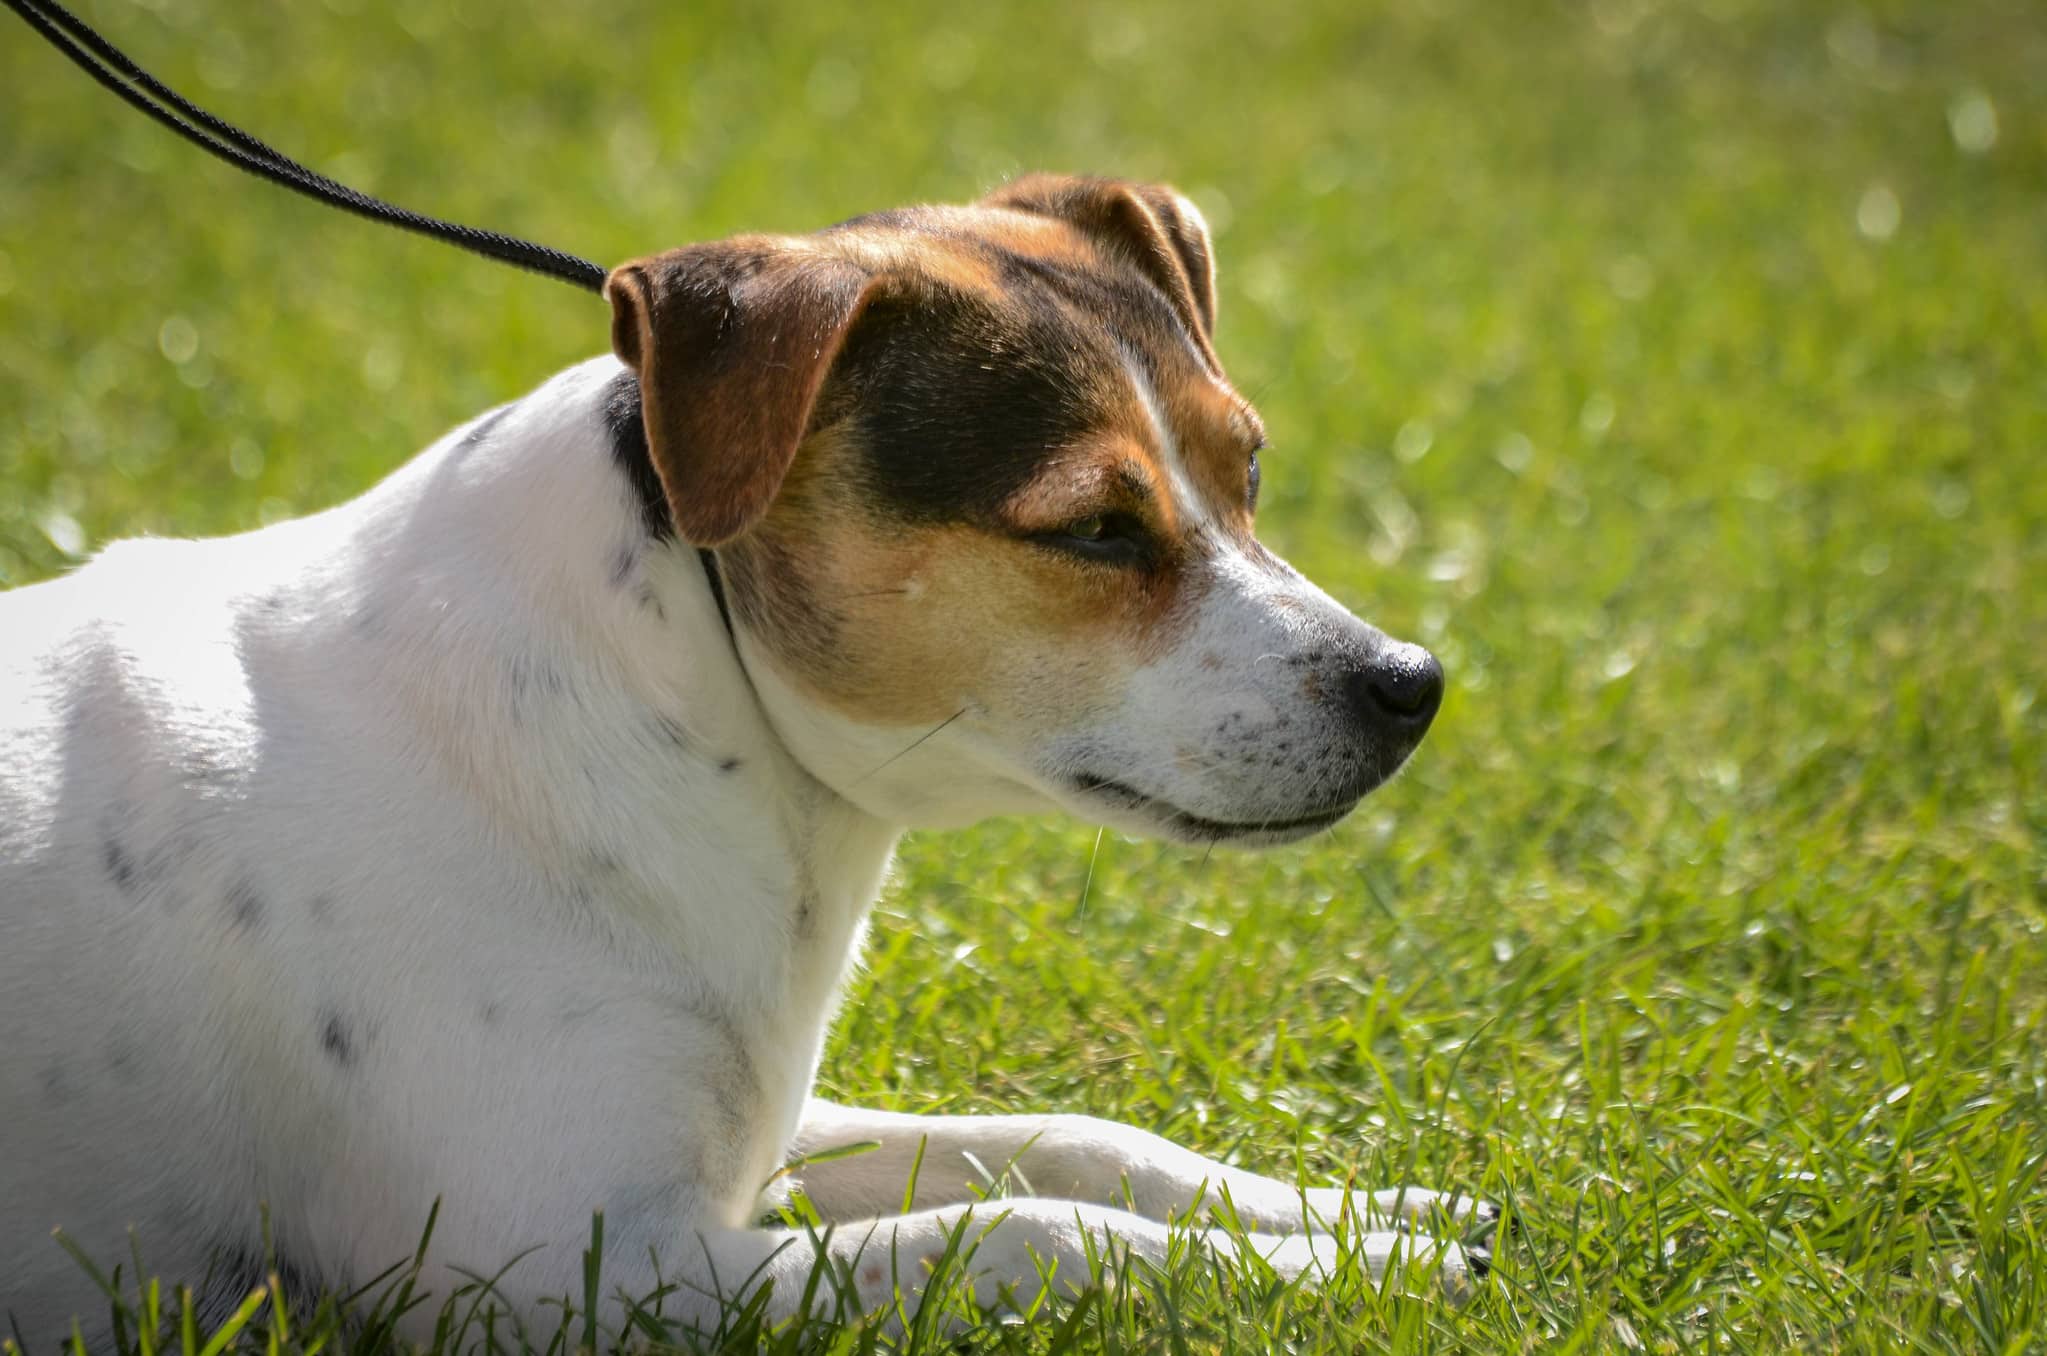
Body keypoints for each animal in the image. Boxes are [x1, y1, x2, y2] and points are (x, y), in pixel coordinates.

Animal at [7, 173, 1498, 1351]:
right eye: (1094, 529)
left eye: (1247, 472)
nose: (1412, 684)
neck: (671, 690)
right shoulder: (572, 1269)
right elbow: (1036, 1229)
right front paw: (1352, 1268)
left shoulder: (756, 1146)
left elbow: (1073, 1143)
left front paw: (1354, 1211)